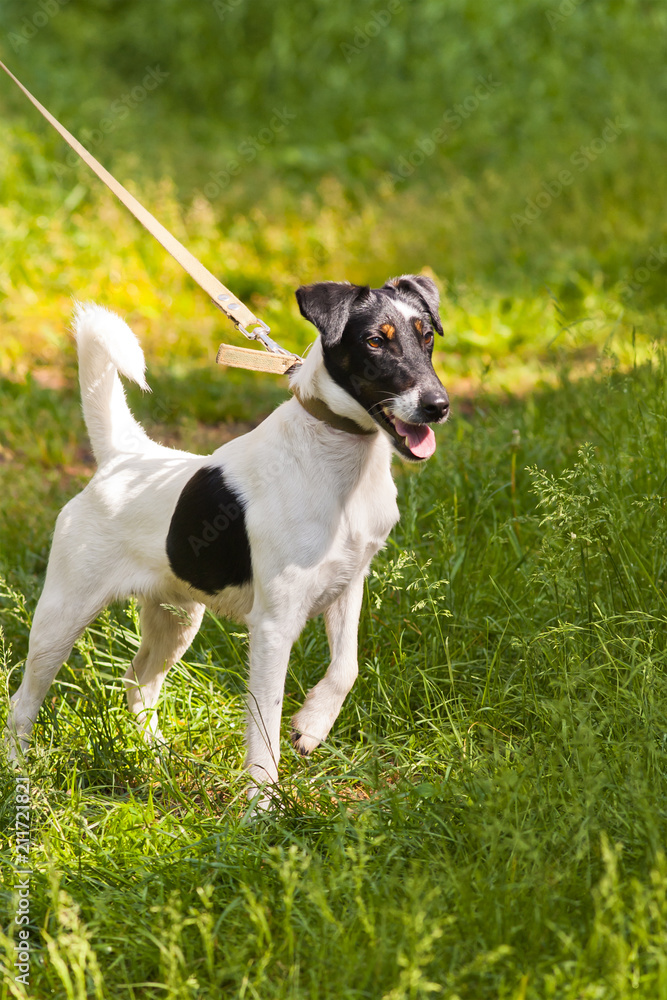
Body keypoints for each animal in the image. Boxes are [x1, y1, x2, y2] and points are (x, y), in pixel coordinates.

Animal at [7, 274, 448, 804]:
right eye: (375, 341)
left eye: (427, 336)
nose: (438, 407)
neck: (342, 462)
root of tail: (124, 455)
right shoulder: (274, 625)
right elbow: (265, 721)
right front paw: (263, 803)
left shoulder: (349, 582)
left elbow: (346, 668)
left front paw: (313, 725)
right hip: (61, 618)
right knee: (22, 704)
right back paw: (21, 781)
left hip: (177, 618)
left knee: (138, 682)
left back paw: (160, 760)